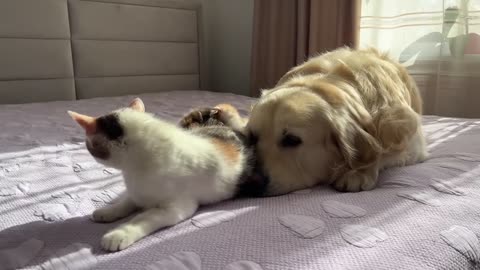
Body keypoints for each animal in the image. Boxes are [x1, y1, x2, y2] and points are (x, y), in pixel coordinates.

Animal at [68, 97, 266, 251]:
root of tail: (233, 131)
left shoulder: (177, 208)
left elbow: (143, 218)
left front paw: (118, 234)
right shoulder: (137, 193)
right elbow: (126, 202)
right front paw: (108, 211)